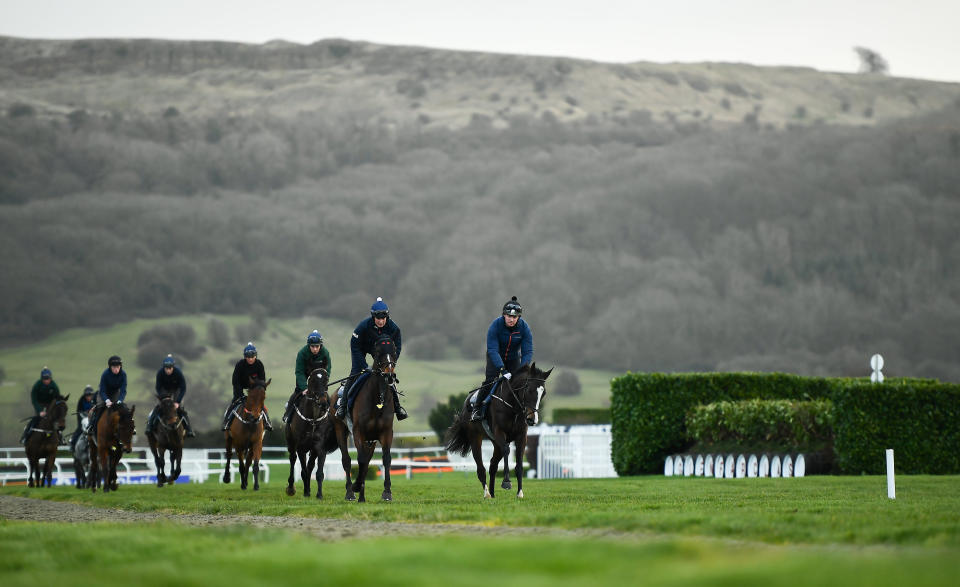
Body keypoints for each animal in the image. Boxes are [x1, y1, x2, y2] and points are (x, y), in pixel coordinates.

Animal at [282, 370, 338, 498]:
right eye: (312, 381)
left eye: (326, 380)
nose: (322, 403)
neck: (313, 419)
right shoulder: (300, 447)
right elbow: (303, 470)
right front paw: (306, 491)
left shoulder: (320, 447)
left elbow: (318, 472)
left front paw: (319, 494)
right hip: (291, 443)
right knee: (292, 458)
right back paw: (291, 487)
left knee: (310, 465)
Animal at [334, 336, 402, 500]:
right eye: (378, 352)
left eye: (394, 351)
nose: (389, 375)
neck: (377, 399)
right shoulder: (359, 431)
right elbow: (361, 460)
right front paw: (357, 487)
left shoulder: (385, 432)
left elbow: (386, 459)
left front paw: (387, 492)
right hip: (340, 430)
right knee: (347, 460)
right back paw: (350, 492)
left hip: (371, 440)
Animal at [446, 362, 552, 500]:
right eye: (529, 390)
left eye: (543, 393)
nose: (532, 419)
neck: (514, 407)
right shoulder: (500, 432)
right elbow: (507, 450)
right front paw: (506, 482)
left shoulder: (521, 436)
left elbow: (519, 463)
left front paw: (520, 493)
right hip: (476, 438)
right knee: (481, 468)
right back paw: (487, 493)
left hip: (495, 443)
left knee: (493, 465)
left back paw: (492, 493)